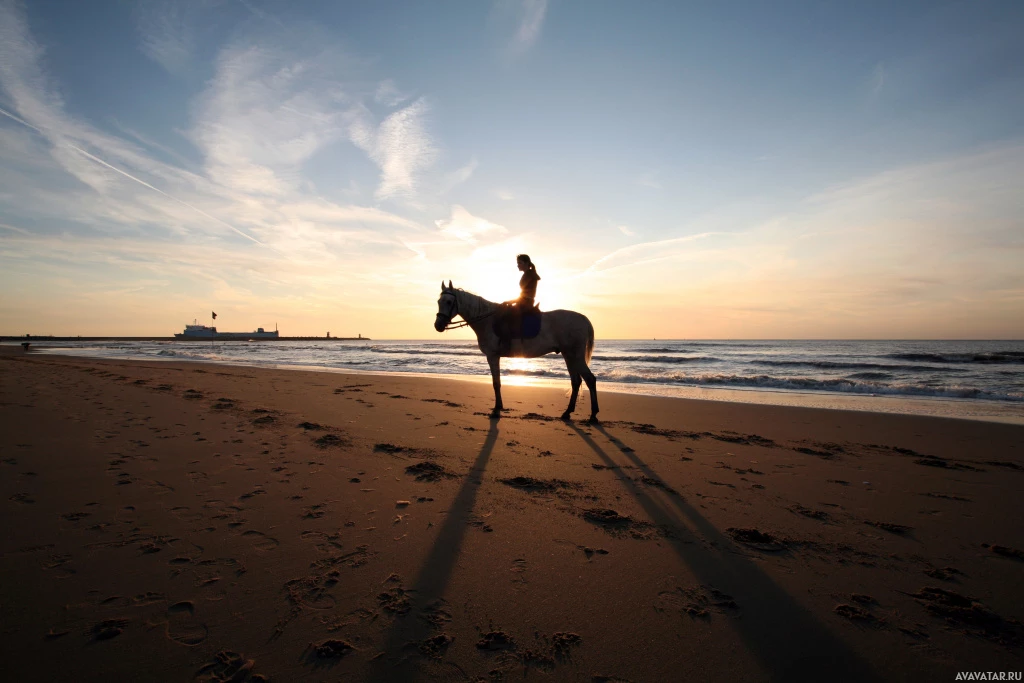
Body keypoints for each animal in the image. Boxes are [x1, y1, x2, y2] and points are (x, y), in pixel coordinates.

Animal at [434, 282, 598, 421]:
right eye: (439, 301)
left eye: (449, 302)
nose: (438, 325)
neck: (487, 320)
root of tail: (583, 319)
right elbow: (497, 382)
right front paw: (499, 406)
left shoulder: (492, 356)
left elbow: (496, 383)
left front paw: (497, 409)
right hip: (568, 355)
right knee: (576, 382)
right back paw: (567, 412)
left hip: (575, 356)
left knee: (590, 379)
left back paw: (593, 415)